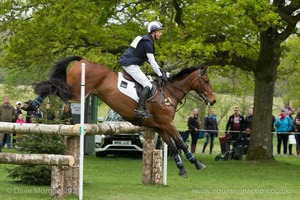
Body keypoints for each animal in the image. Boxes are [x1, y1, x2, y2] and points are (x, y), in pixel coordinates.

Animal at [25, 55, 216, 177]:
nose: (213, 100)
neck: (169, 93)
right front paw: (197, 163)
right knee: (52, 86)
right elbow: (182, 143)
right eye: (206, 81)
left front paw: (182, 169)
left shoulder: (159, 126)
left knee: (53, 85)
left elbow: (174, 147)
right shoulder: (168, 124)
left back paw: (32, 105)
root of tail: (84, 61)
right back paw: (32, 105)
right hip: (75, 91)